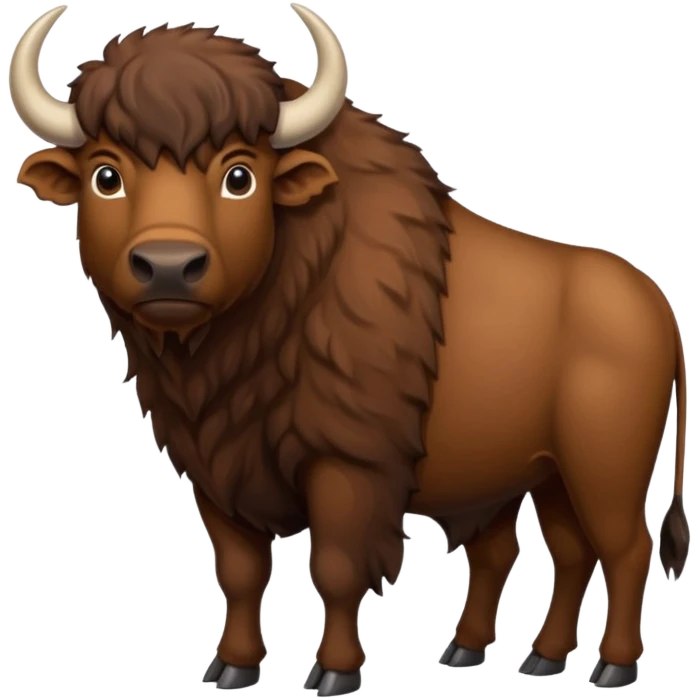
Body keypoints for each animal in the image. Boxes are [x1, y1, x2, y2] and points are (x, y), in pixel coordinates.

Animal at [10, 3, 689, 695]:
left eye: (239, 175)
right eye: (106, 175)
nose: (169, 267)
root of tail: (655, 306)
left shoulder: (346, 466)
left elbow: (335, 568)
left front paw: (333, 672)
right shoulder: (214, 467)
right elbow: (241, 571)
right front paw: (232, 666)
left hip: (603, 470)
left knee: (624, 548)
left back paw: (611, 665)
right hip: (546, 475)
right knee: (559, 553)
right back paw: (514, 656)